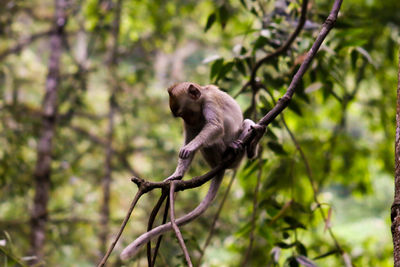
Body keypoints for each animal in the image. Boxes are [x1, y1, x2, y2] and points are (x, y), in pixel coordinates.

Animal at [122, 82, 266, 262]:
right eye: (181, 117)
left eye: (185, 113)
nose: (187, 121)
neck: (203, 94)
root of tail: (221, 166)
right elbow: (192, 135)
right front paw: (177, 174)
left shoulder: (209, 103)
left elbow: (214, 126)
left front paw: (190, 148)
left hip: (234, 157)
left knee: (242, 125)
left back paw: (247, 145)